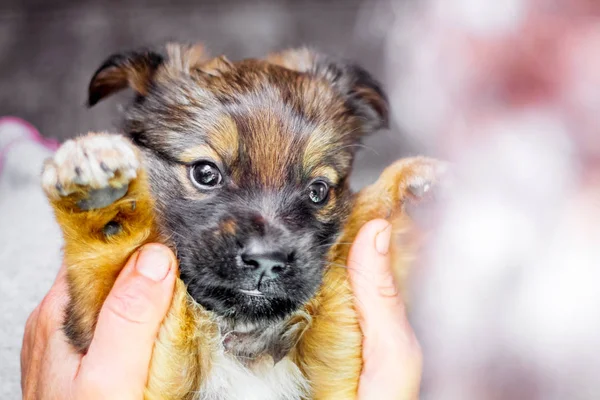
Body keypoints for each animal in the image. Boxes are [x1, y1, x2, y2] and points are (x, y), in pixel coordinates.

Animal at [42, 43, 442, 400]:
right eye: (205, 173)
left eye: (318, 191)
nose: (267, 262)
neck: (241, 333)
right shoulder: (115, 345)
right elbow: (109, 264)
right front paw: (95, 182)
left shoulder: (335, 366)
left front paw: (412, 195)